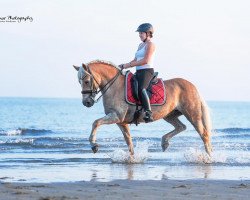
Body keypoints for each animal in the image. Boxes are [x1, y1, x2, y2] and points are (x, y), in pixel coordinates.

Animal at [73, 59, 213, 158]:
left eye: (86, 81)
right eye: (79, 82)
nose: (86, 102)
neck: (114, 87)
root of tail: (193, 86)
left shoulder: (116, 116)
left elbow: (96, 122)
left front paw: (94, 145)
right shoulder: (121, 121)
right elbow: (128, 140)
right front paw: (132, 158)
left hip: (192, 115)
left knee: (204, 134)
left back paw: (209, 157)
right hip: (169, 115)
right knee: (181, 127)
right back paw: (164, 143)